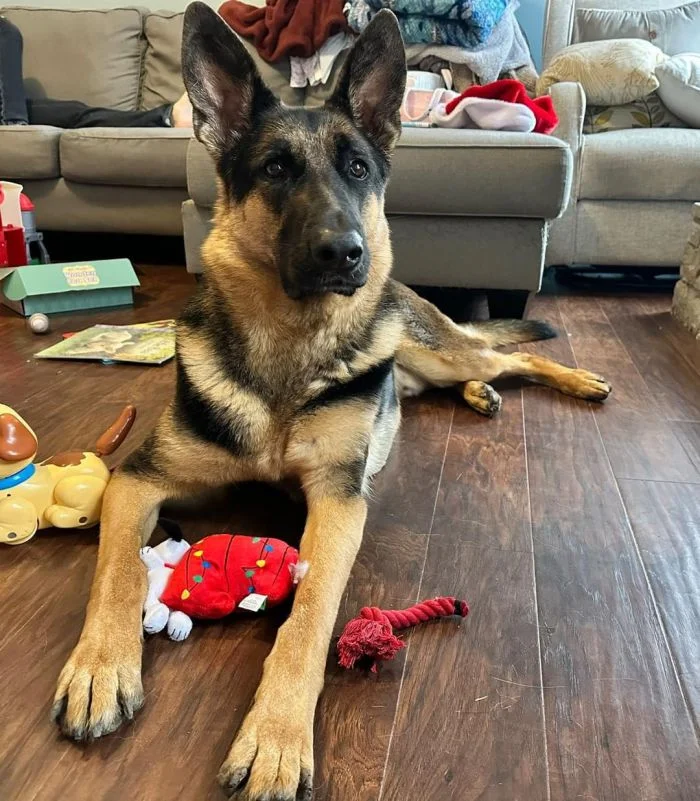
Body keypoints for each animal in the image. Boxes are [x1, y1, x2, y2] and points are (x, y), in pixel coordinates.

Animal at [51, 5, 610, 799]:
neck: (290, 356)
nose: (346, 254)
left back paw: (575, 379)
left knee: (512, 353)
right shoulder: (137, 479)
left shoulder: (339, 503)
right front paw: (101, 665)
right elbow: (119, 570)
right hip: (424, 366)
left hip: (436, 346)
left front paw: (277, 734)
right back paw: (480, 395)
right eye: (276, 170)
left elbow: (310, 614)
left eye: (358, 170)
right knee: (471, 374)